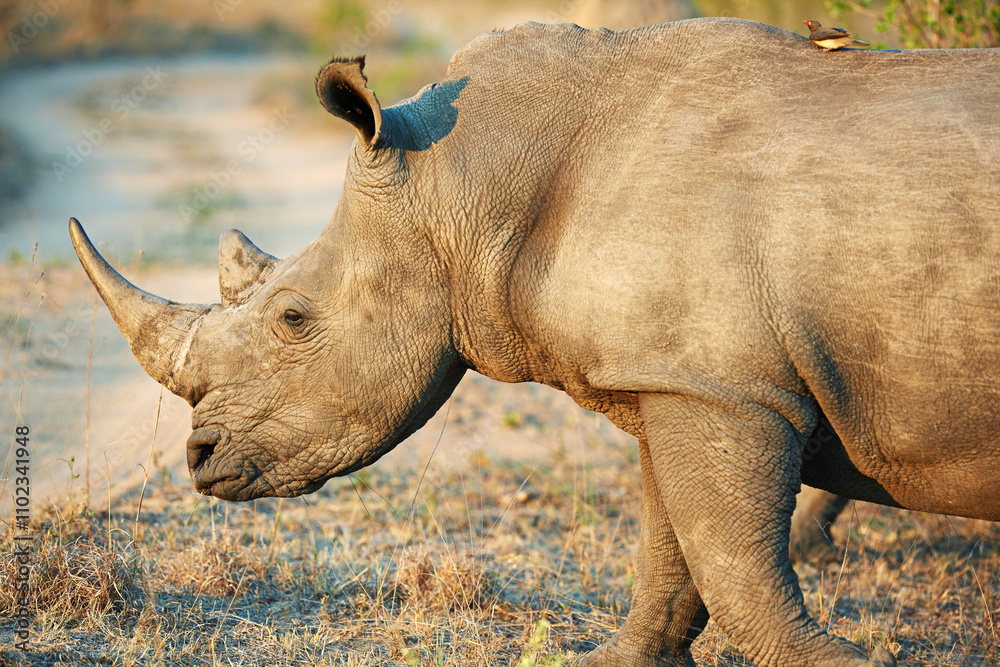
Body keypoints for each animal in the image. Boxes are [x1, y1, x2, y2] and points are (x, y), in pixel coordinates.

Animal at [70, 17, 1000, 667]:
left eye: (292, 319)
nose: (198, 459)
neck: (460, 178)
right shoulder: (674, 375)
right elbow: (674, 544)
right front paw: (622, 657)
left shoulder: (723, 386)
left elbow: (728, 554)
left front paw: (846, 659)